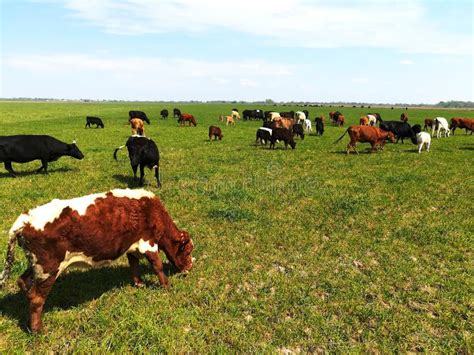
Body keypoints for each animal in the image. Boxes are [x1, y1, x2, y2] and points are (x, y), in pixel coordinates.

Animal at [0, 189, 194, 334]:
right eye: (188, 250)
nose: (190, 267)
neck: (150, 209)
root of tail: (25, 219)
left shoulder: (131, 245)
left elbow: (134, 265)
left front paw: (138, 283)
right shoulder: (148, 243)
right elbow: (157, 266)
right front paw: (166, 286)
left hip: (36, 266)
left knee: (23, 282)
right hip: (48, 268)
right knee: (37, 298)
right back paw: (37, 329)